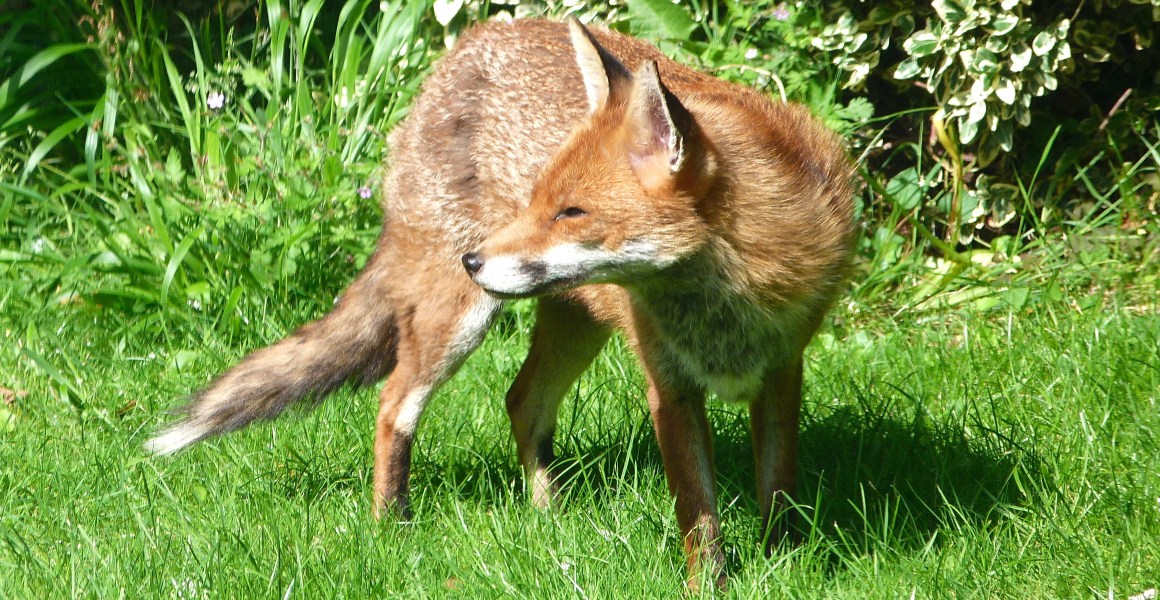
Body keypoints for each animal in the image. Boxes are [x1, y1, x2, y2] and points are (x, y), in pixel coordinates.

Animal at [146, 18, 854, 588]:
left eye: (570, 213)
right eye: (538, 201)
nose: (475, 260)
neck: (729, 293)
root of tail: (466, 45)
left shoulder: (783, 368)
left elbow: (779, 491)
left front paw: (785, 562)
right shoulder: (669, 388)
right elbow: (700, 523)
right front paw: (711, 587)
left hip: (574, 319)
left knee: (523, 402)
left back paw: (550, 520)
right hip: (457, 323)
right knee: (394, 404)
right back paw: (392, 526)